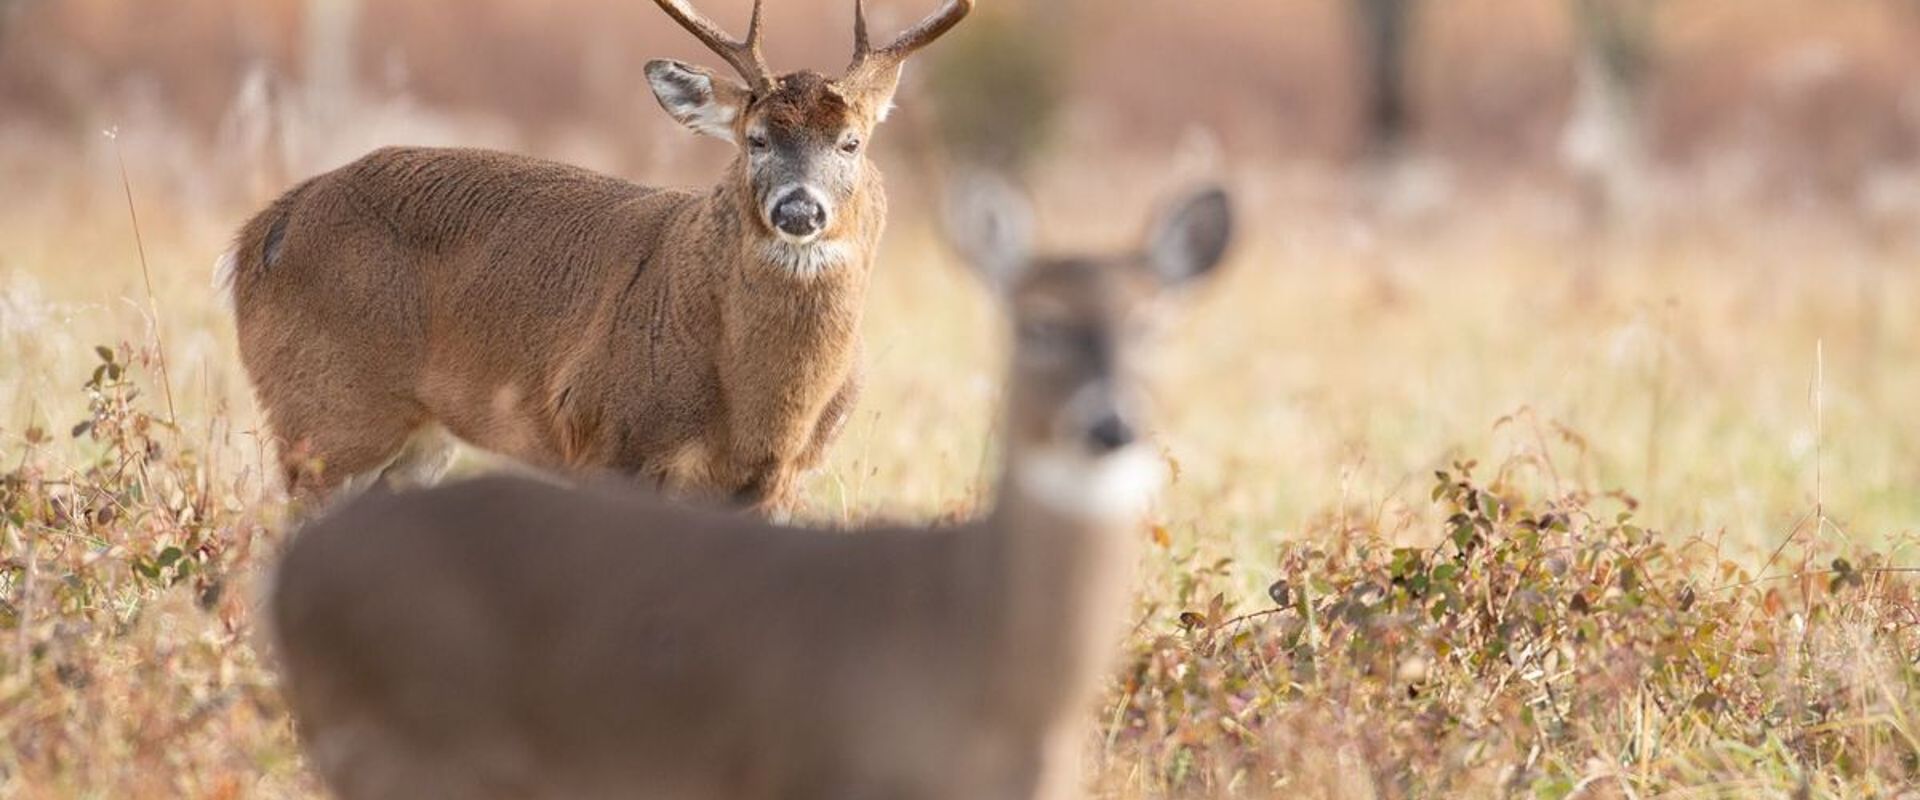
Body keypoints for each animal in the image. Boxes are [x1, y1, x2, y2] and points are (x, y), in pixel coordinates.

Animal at [216, 0, 972, 513]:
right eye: (755, 138)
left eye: (851, 143)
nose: (798, 210)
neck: (759, 415)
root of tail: (260, 233)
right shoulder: (610, 438)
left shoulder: (780, 482)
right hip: (325, 413)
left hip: (414, 444)